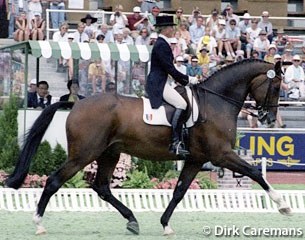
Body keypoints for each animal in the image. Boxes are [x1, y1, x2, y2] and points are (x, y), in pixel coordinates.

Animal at [6, 59, 290, 235]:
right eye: (276, 86)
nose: (267, 118)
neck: (216, 103)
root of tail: (78, 103)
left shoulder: (196, 159)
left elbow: (179, 191)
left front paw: (166, 225)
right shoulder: (222, 155)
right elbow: (255, 172)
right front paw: (283, 205)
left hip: (110, 153)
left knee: (102, 187)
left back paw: (132, 221)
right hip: (84, 154)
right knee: (54, 181)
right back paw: (38, 223)